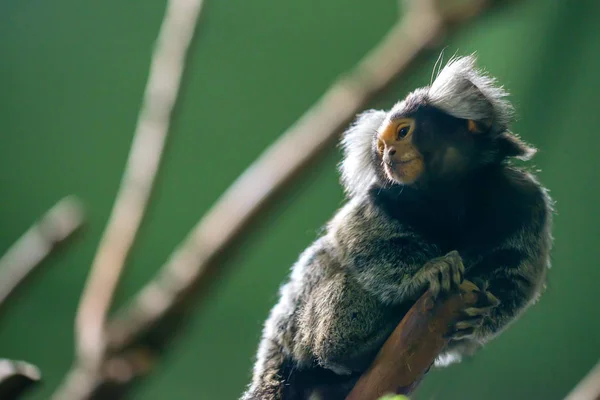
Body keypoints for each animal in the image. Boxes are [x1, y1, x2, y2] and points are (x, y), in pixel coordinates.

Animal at [241, 56, 556, 400]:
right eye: (380, 146)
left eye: (403, 132)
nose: (389, 154)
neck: (451, 195)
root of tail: (276, 343)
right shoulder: (382, 199)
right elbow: (360, 244)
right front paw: (424, 274)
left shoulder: (526, 202)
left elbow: (518, 276)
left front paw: (481, 315)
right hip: (302, 326)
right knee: (338, 282)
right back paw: (351, 348)